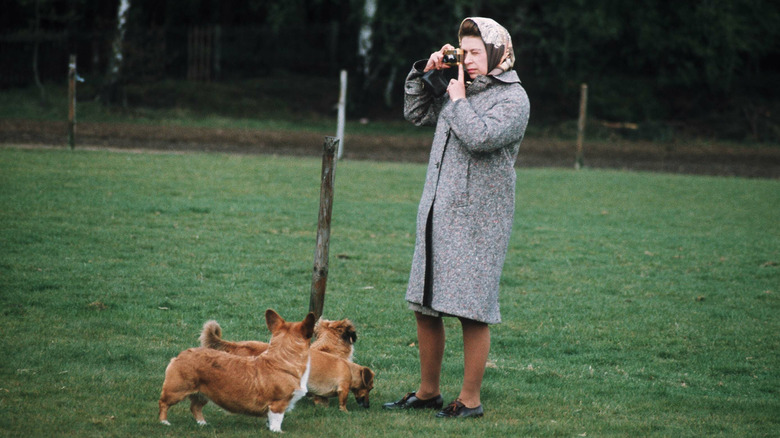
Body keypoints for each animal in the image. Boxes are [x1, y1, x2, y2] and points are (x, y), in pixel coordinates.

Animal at [157, 310, 316, 432]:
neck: (282, 360)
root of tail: (180, 355)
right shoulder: (278, 404)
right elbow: (277, 420)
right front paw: (277, 432)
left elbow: (269, 420)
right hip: (176, 391)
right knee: (163, 403)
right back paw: (164, 422)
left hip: (203, 393)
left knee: (195, 407)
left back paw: (203, 423)